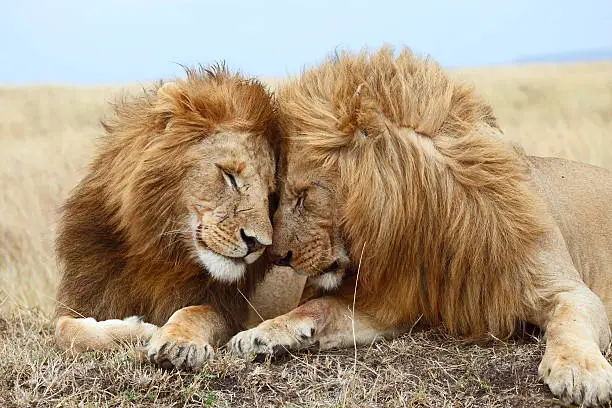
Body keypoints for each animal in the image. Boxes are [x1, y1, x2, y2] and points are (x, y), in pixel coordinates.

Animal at [54, 64, 304, 370]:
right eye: (229, 176)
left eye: (270, 195)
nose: (258, 243)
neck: (159, 251)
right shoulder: (86, 297)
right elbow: (65, 330)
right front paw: (139, 330)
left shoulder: (227, 309)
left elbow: (194, 312)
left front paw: (176, 342)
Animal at [228, 47, 612, 404]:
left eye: (304, 195)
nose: (277, 256)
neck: (430, 220)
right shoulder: (391, 304)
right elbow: (318, 307)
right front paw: (261, 333)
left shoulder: (565, 288)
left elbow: (570, 320)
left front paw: (580, 371)